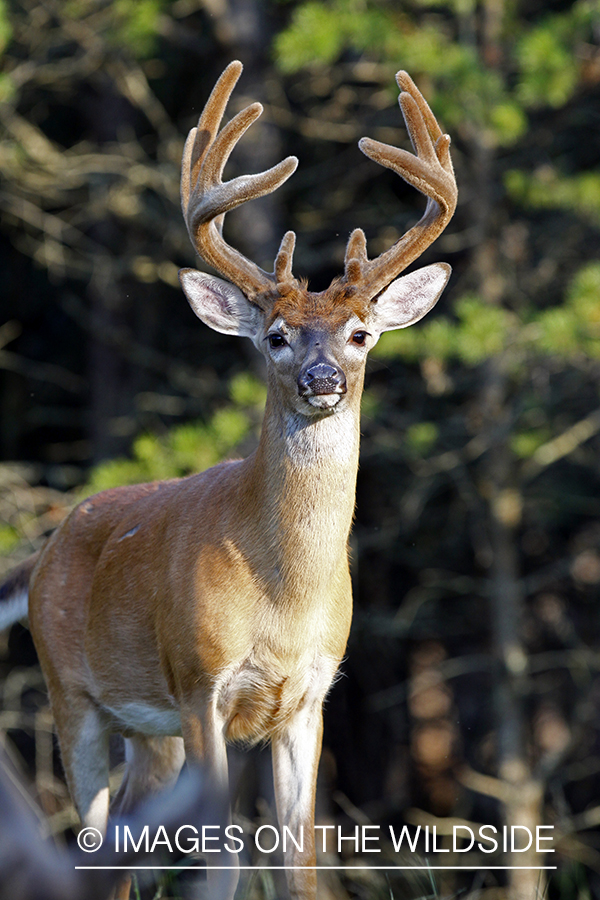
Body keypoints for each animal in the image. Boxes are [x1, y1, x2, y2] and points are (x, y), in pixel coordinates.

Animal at [0, 58, 454, 900]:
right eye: (275, 336)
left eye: (361, 333)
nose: (321, 381)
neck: (283, 598)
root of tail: (48, 548)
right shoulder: (199, 681)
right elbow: (223, 860)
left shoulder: (309, 698)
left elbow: (299, 861)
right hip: (71, 693)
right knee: (87, 838)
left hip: (153, 738)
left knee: (119, 848)